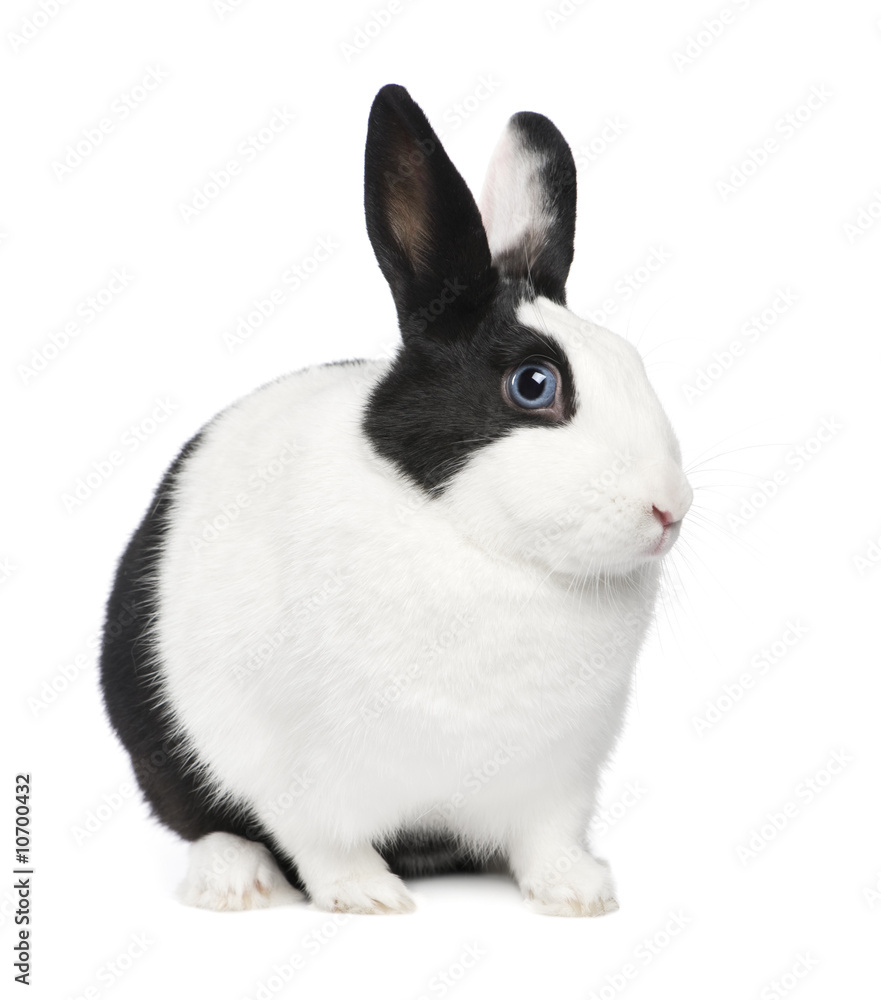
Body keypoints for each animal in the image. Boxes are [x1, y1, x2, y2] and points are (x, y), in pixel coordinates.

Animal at [99, 83, 692, 917]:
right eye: (533, 384)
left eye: (633, 363)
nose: (669, 508)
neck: (479, 548)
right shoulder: (299, 773)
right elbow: (323, 845)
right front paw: (368, 898)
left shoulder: (559, 779)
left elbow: (549, 841)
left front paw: (580, 894)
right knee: (204, 822)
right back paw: (236, 882)